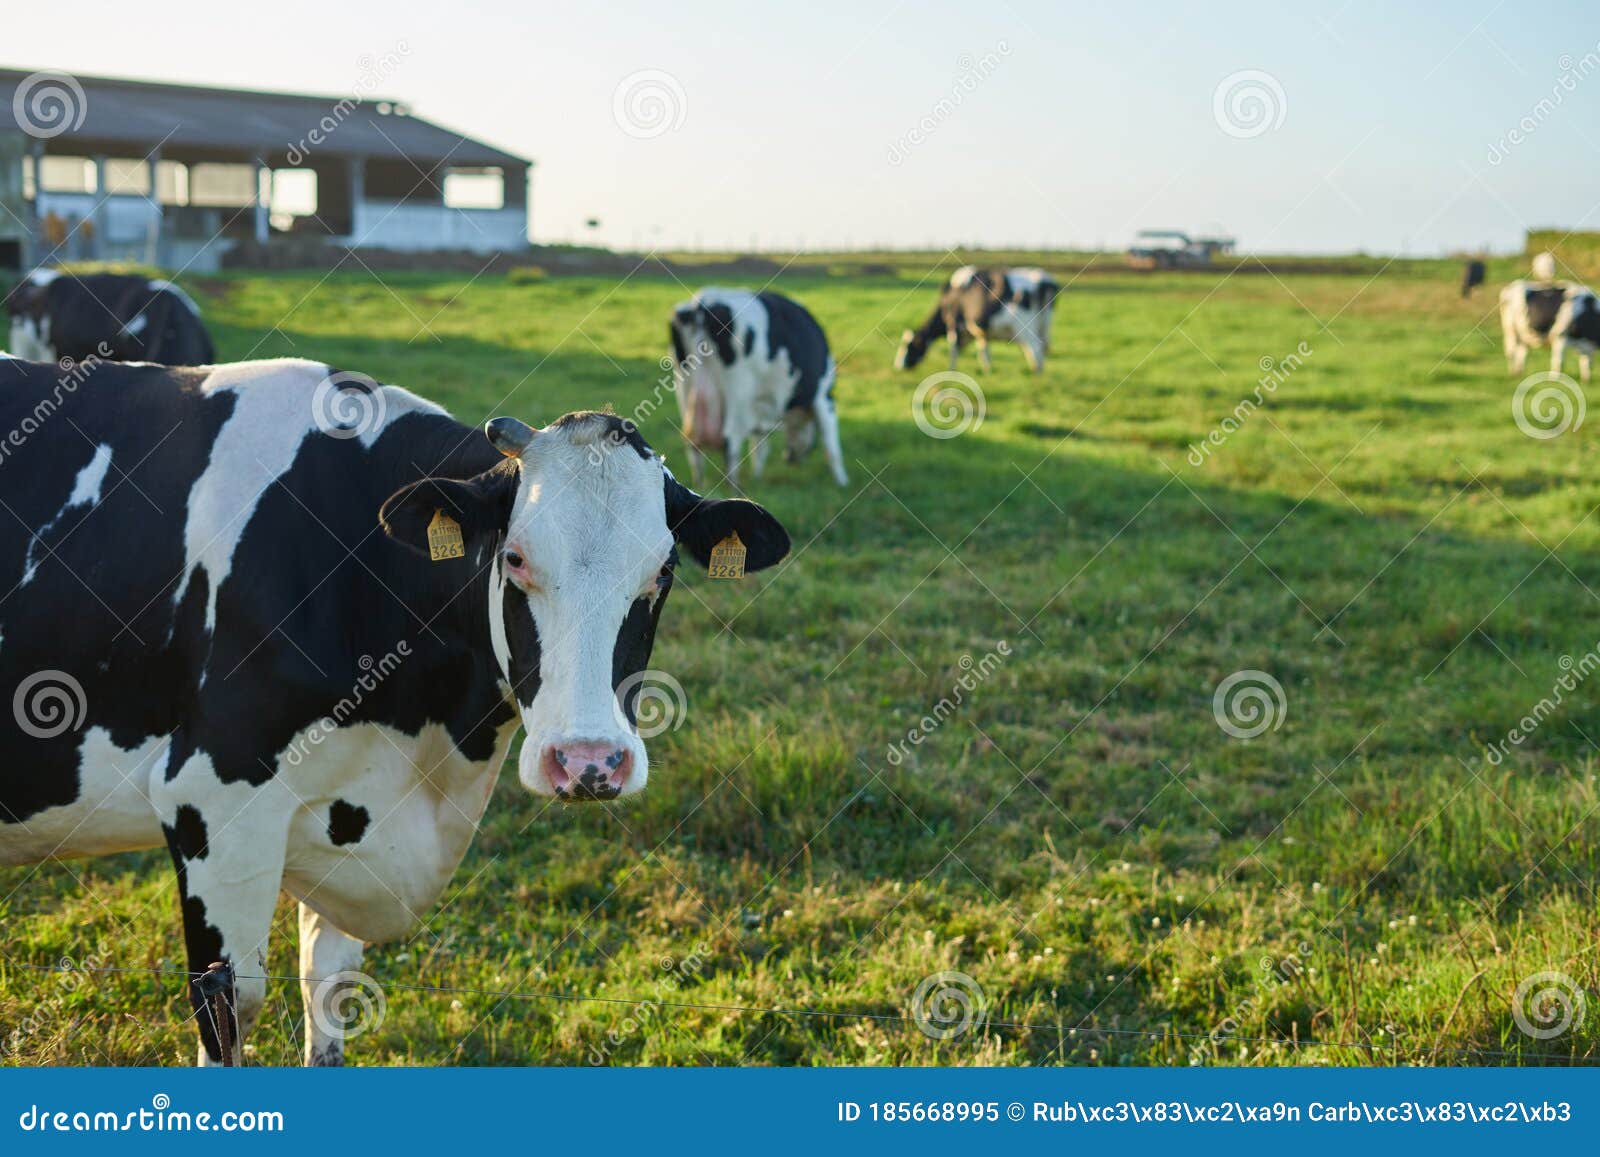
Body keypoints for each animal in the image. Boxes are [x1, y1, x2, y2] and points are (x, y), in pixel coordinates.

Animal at [0, 355, 790, 1068]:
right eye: (514, 559)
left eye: (663, 570)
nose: (590, 762)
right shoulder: (210, 797)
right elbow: (229, 1008)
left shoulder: (345, 812)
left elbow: (329, 992)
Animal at [668, 289, 851, 492]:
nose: (788, 457)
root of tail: (701, 303)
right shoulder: (823, 397)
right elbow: (832, 444)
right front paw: (842, 482)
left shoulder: (758, 408)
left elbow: (759, 447)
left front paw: (757, 476)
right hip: (737, 394)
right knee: (729, 442)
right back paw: (734, 489)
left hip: (686, 392)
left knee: (693, 446)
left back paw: (699, 486)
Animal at [889, 264, 1062, 372]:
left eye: (908, 346)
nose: (898, 366)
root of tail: (1045, 280)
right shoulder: (981, 332)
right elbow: (983, 351)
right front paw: (987, 370)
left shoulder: (954, 323)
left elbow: (953, 349)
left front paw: (951, 370)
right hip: (1042, 326)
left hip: (1025, 328)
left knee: (1035, 349)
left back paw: (1036, 376)